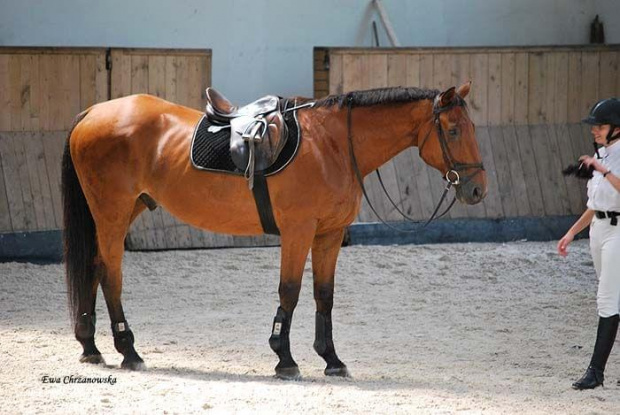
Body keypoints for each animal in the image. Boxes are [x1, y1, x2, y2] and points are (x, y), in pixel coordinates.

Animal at [63, 81, 490, 380]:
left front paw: (331, 359)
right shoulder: (298, 231)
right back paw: (128, 350)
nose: (476, 190)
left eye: (472, 127)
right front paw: (284, 358)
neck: (332, 144)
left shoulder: (329, 235)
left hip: (125, 209)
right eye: (453, 130)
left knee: (95, 268)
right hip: (112, 212)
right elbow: (291, 291)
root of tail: (93, 112)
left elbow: (324, 296)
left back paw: (91, 346)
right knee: (111, 273)